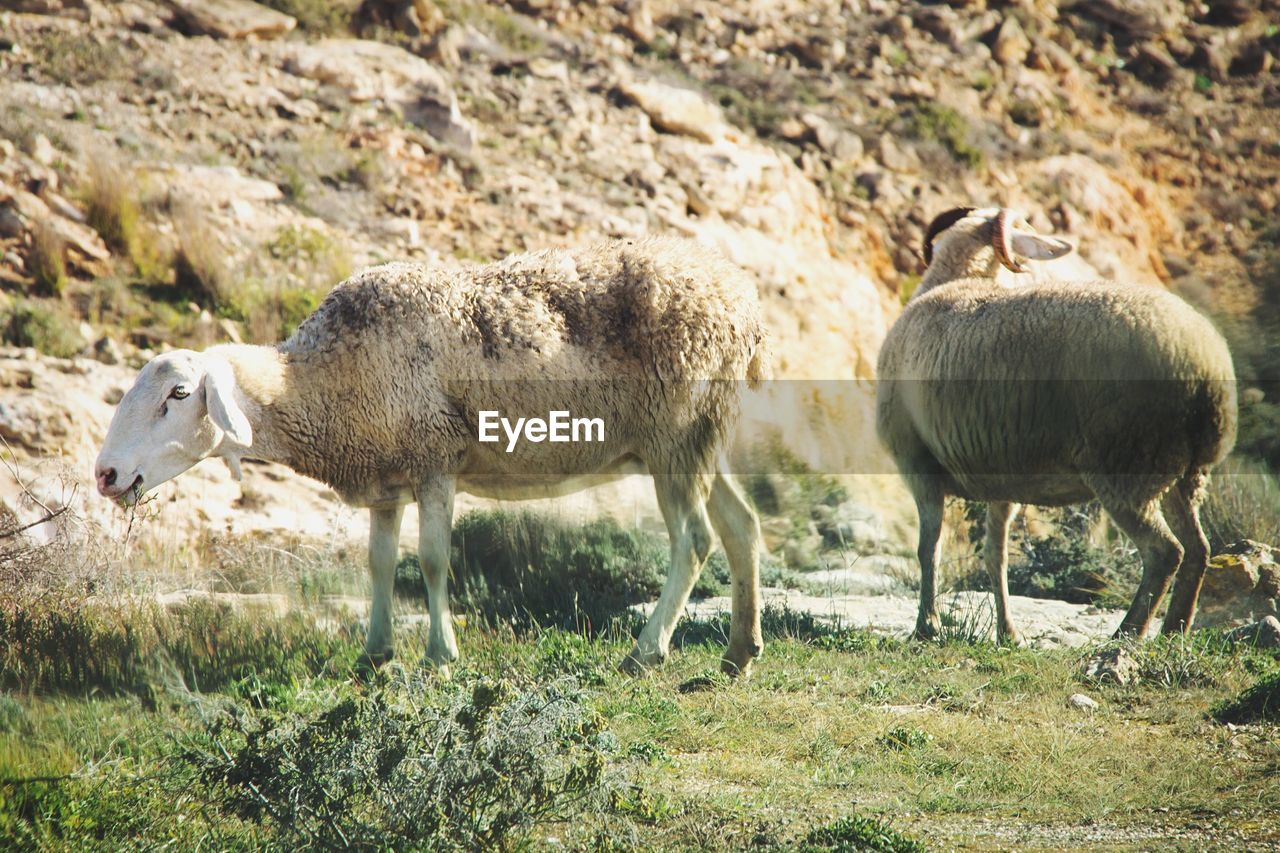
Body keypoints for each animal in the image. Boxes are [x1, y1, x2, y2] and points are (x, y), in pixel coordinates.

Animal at [94, 235, 768, 676]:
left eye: (180, 394)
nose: (105, 475)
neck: (320, 378)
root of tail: (743, 302)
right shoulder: (383, 476)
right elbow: (380, 563)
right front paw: (374, 654)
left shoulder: (434, 460)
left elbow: (435, 561)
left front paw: (440, 656)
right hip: (702, 434)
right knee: (743, 525)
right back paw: (740, 651)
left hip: (673, 432)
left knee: (695, 540)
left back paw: (646, 650)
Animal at [875, 206, 1233, 640]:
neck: (954, 282)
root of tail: (1206, 366)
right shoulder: (1003, 478)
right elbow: (996, 556)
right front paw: (1008, 633)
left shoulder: (917, 463)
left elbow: (929, 548)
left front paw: (926, 627)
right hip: (1184, 474)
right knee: (1198, 550)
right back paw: (1174, 632)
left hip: (1126, 463)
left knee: (1165, 553)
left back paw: (1126, 634)